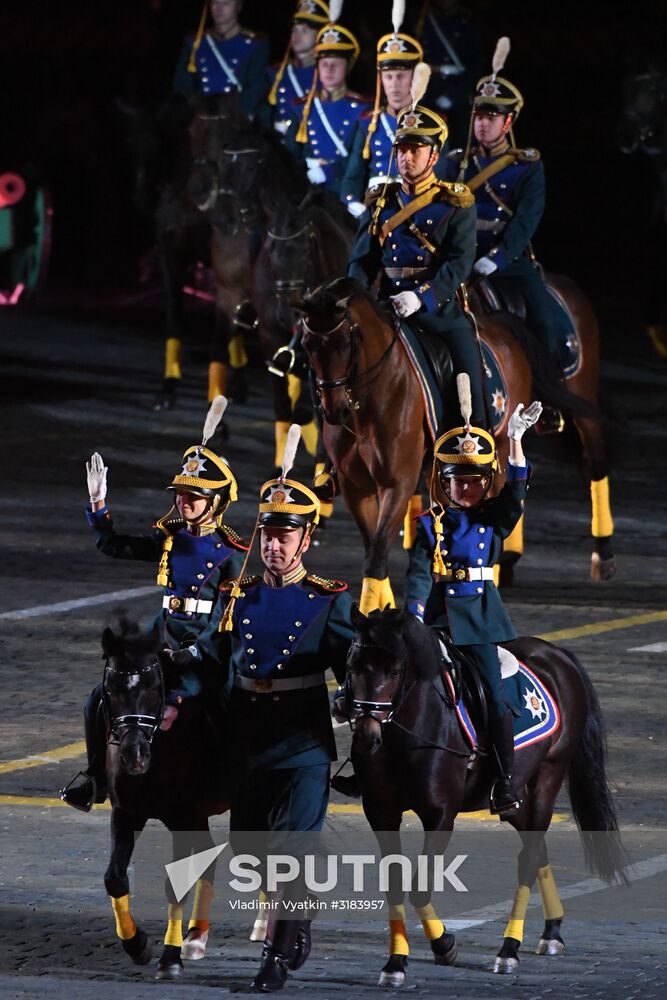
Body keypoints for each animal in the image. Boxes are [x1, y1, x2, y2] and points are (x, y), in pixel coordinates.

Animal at [99, 620, 228, 980]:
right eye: (110, 689)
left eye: (154, 686)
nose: (135, 755)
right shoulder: (126, 812)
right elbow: (115, 878)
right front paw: (136, 944)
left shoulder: (184, 819)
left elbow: (177, 882)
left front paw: (170, 958)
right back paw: (196, 936)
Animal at [300, 276, 612, 616]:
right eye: (307, 346)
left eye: (345, 343)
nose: (333, 411)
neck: (370, 398)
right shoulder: (357, 487)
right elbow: (373, 550)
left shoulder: (397, 483)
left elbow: (378, 554)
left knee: (591, 463)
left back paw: (599, 554)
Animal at [348, 604, 628, 988]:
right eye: (353, 665)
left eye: (395, 670)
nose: (366, 735)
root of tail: (557, 654)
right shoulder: (381, 812)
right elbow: (394, 884)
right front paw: (395, 963)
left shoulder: (440, 814)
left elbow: (419, 886)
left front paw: (444, 945)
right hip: (515, 800)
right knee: (535, 850)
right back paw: (552, 931)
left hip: (548, 777)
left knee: (528, 860)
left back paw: (508, 950)